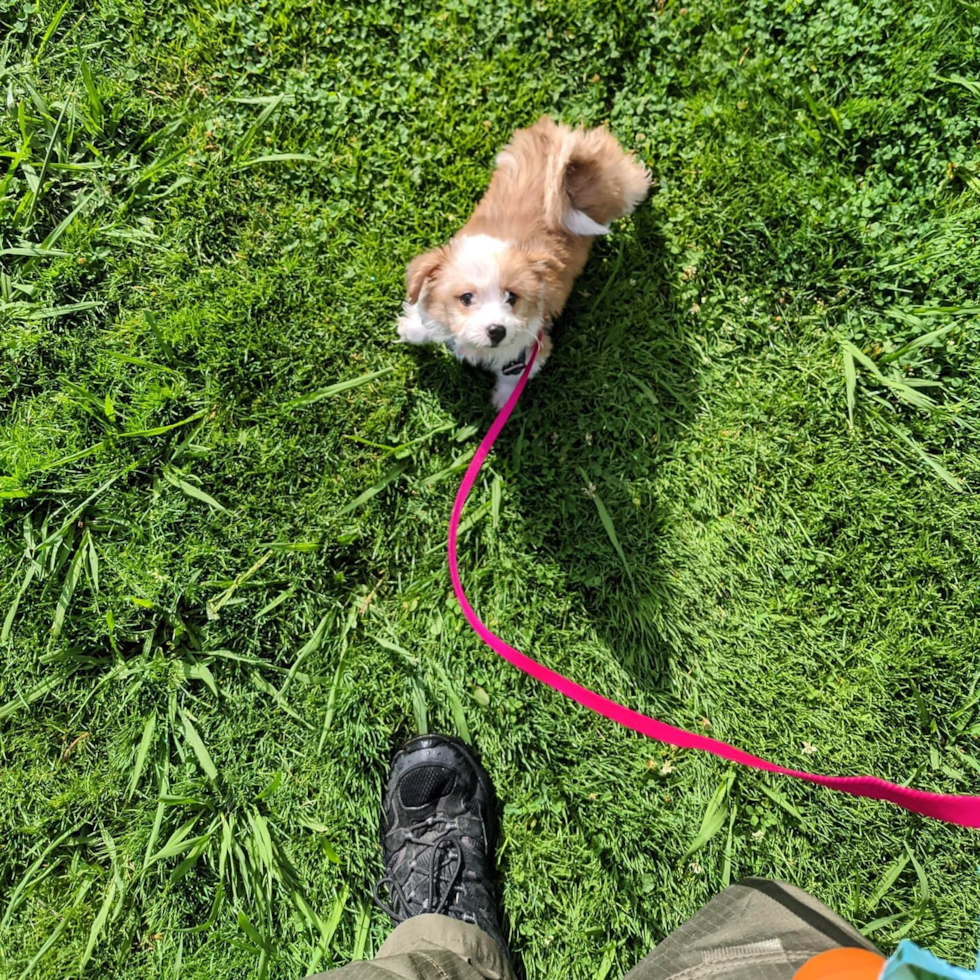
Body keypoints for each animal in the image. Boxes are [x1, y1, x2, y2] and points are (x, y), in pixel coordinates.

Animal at [394, 116, 648, 406]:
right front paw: (411, 328)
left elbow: (512, 379)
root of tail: (572, 144)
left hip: (624, 188)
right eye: (467, 298)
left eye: (512, 297)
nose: (497, 331)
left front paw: (502, 401)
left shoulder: (530, 350)